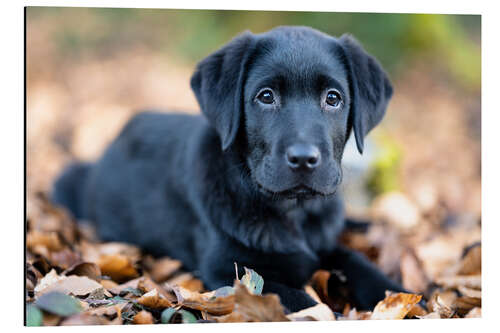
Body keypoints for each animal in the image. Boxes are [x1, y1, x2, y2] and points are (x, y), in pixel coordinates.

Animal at [53, 26, 406, 312]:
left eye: (333, 99)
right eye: (266, 96)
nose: (304, 158)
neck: (292, 211)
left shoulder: (325, 245)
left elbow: (358, 262)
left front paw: (401, 293)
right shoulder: (228, 268)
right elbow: (300, 301)